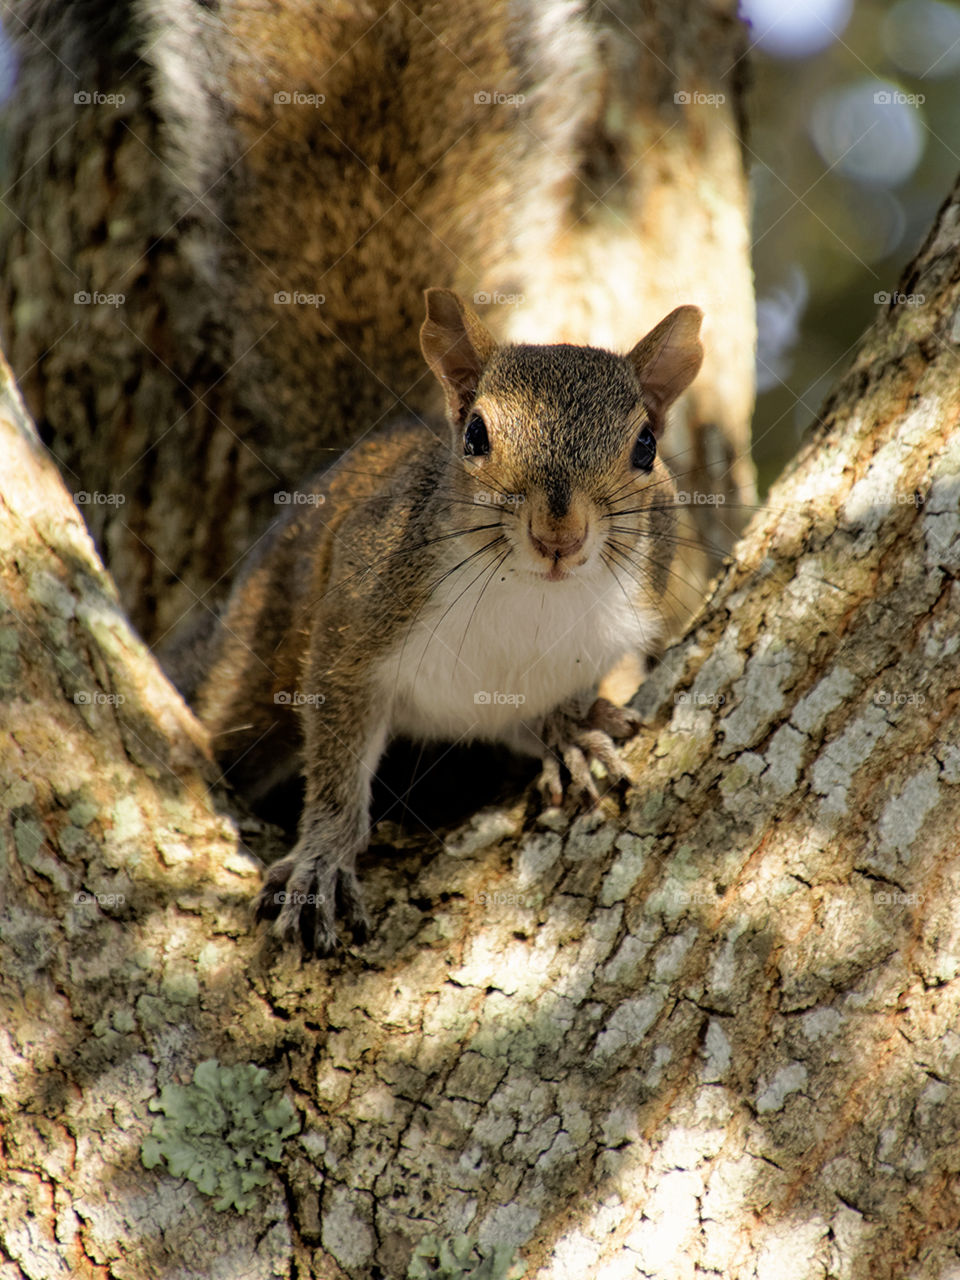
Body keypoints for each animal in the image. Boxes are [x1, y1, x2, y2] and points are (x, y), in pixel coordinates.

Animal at [194, 289, 703, 953]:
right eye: (476, 435)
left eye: (646, 445)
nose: (559, 537)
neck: (529, 593)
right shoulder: (359, 615)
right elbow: (337, 750)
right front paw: (321, 858)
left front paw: (570, 733)